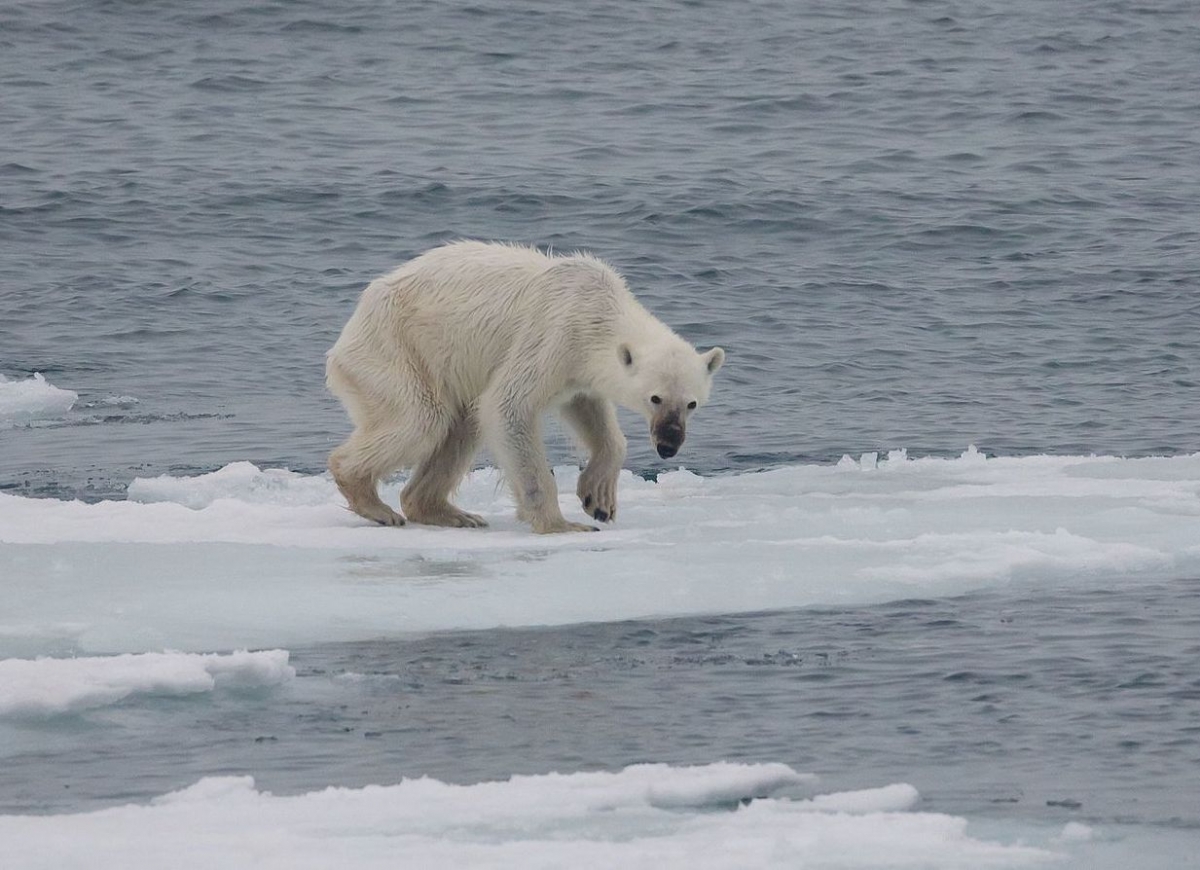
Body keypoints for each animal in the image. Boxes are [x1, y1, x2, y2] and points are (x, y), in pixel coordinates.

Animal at [325, 240, 725, 533]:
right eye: (655, 397)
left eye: (691, 403)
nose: (669, 444)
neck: (597, 310)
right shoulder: (553, 334)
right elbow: (508, 406)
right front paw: (562, 524)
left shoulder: (577, 369)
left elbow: (589, 410)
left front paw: (598, 499)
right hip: (396, 349)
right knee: (422, 419)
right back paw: (374, 502)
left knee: (461, 425)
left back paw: (450, 512)